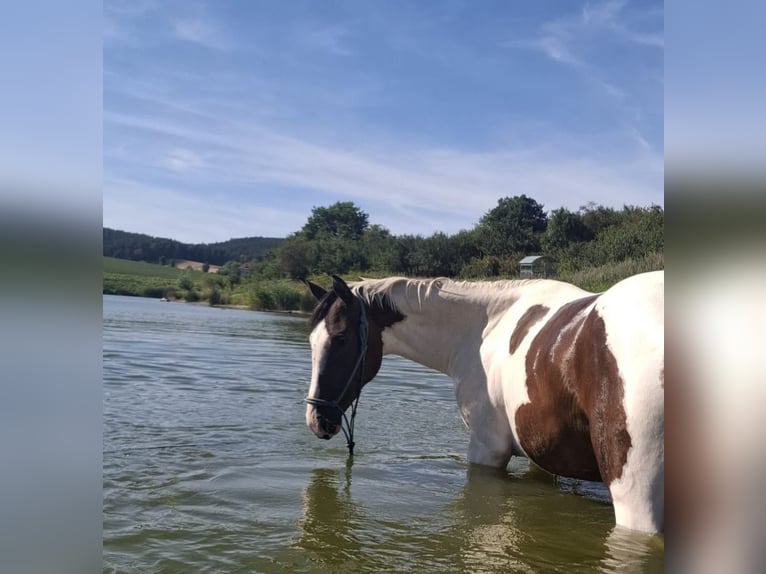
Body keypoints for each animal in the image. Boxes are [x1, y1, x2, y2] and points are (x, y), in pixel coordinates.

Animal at [303, 271, 664, 533]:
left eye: (341, 339)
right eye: (311, 340)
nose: (316, 419)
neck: (487, 328)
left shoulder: (486, 450)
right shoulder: (541, 457)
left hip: (636, 498)